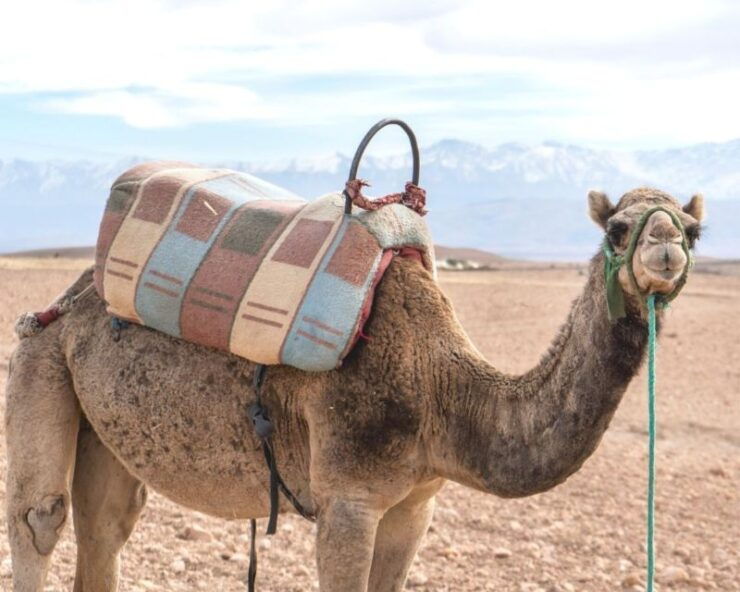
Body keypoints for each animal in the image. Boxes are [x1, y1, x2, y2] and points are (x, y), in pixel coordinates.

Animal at [4, 187, 704, 592]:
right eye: (616, 229)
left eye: (695, 231)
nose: (665, 250)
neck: (442, 388)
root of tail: (70, 296)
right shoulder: (348, 497)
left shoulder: (415, 504)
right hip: (38, 356)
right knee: (41, 518)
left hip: (106, 430)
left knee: (107, 526)